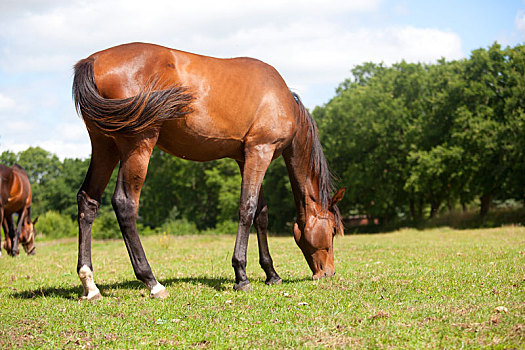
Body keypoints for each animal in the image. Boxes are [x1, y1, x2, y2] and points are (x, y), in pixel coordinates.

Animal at [73, 42, 344, 300]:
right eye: (332, 230)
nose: (328, 273)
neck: (281, 99)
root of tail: (93, 60)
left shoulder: (246, 158)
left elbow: (261, 214)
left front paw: (271, 274)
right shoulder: (260, 151)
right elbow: (247, 209)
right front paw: (241, 276)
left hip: (105, 147)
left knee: (88, 201)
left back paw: (90, 285)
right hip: (137, 145)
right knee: (125, 204)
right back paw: (152, 282)